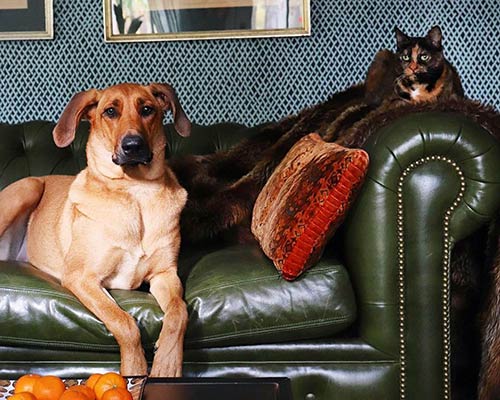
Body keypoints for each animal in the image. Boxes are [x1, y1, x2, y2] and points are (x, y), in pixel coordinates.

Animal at [0, 83, 191, 376]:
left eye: (147, 109)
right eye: (110, 112)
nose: (133, 146)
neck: (135, 190)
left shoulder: (165, 274)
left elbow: (180, 312)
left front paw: (167, 364)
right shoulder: (81, 277)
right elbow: (124, 322)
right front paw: (135, 368)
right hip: (28, 186)